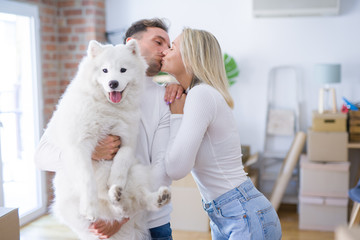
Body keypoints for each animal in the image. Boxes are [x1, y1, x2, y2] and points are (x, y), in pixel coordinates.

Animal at [45, 39, 172, 240]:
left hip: (137, 172)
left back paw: (137, 196)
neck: (109, 109)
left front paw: (114, 182)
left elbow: (120, 165)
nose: (113, 83)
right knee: (121, 209)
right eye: (104, 70)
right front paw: (90, 208)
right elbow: (87, 178)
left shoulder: (127, 141)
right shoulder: (80, 145)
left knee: (134, 204)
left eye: (123, 70)